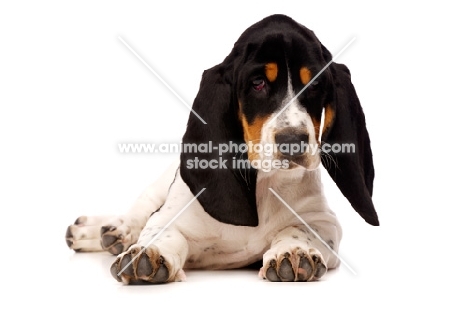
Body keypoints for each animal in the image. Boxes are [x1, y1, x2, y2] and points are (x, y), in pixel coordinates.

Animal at [66, 14, 378, 286]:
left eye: (315, 85)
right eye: (257, 83)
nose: (293, 139)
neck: (262, 184)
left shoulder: (323, 221)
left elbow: (299, 230)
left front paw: (294, 252)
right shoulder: (169, 217)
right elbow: (161, 233)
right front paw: (148, 255)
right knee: (140, 209)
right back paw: (109, 230)